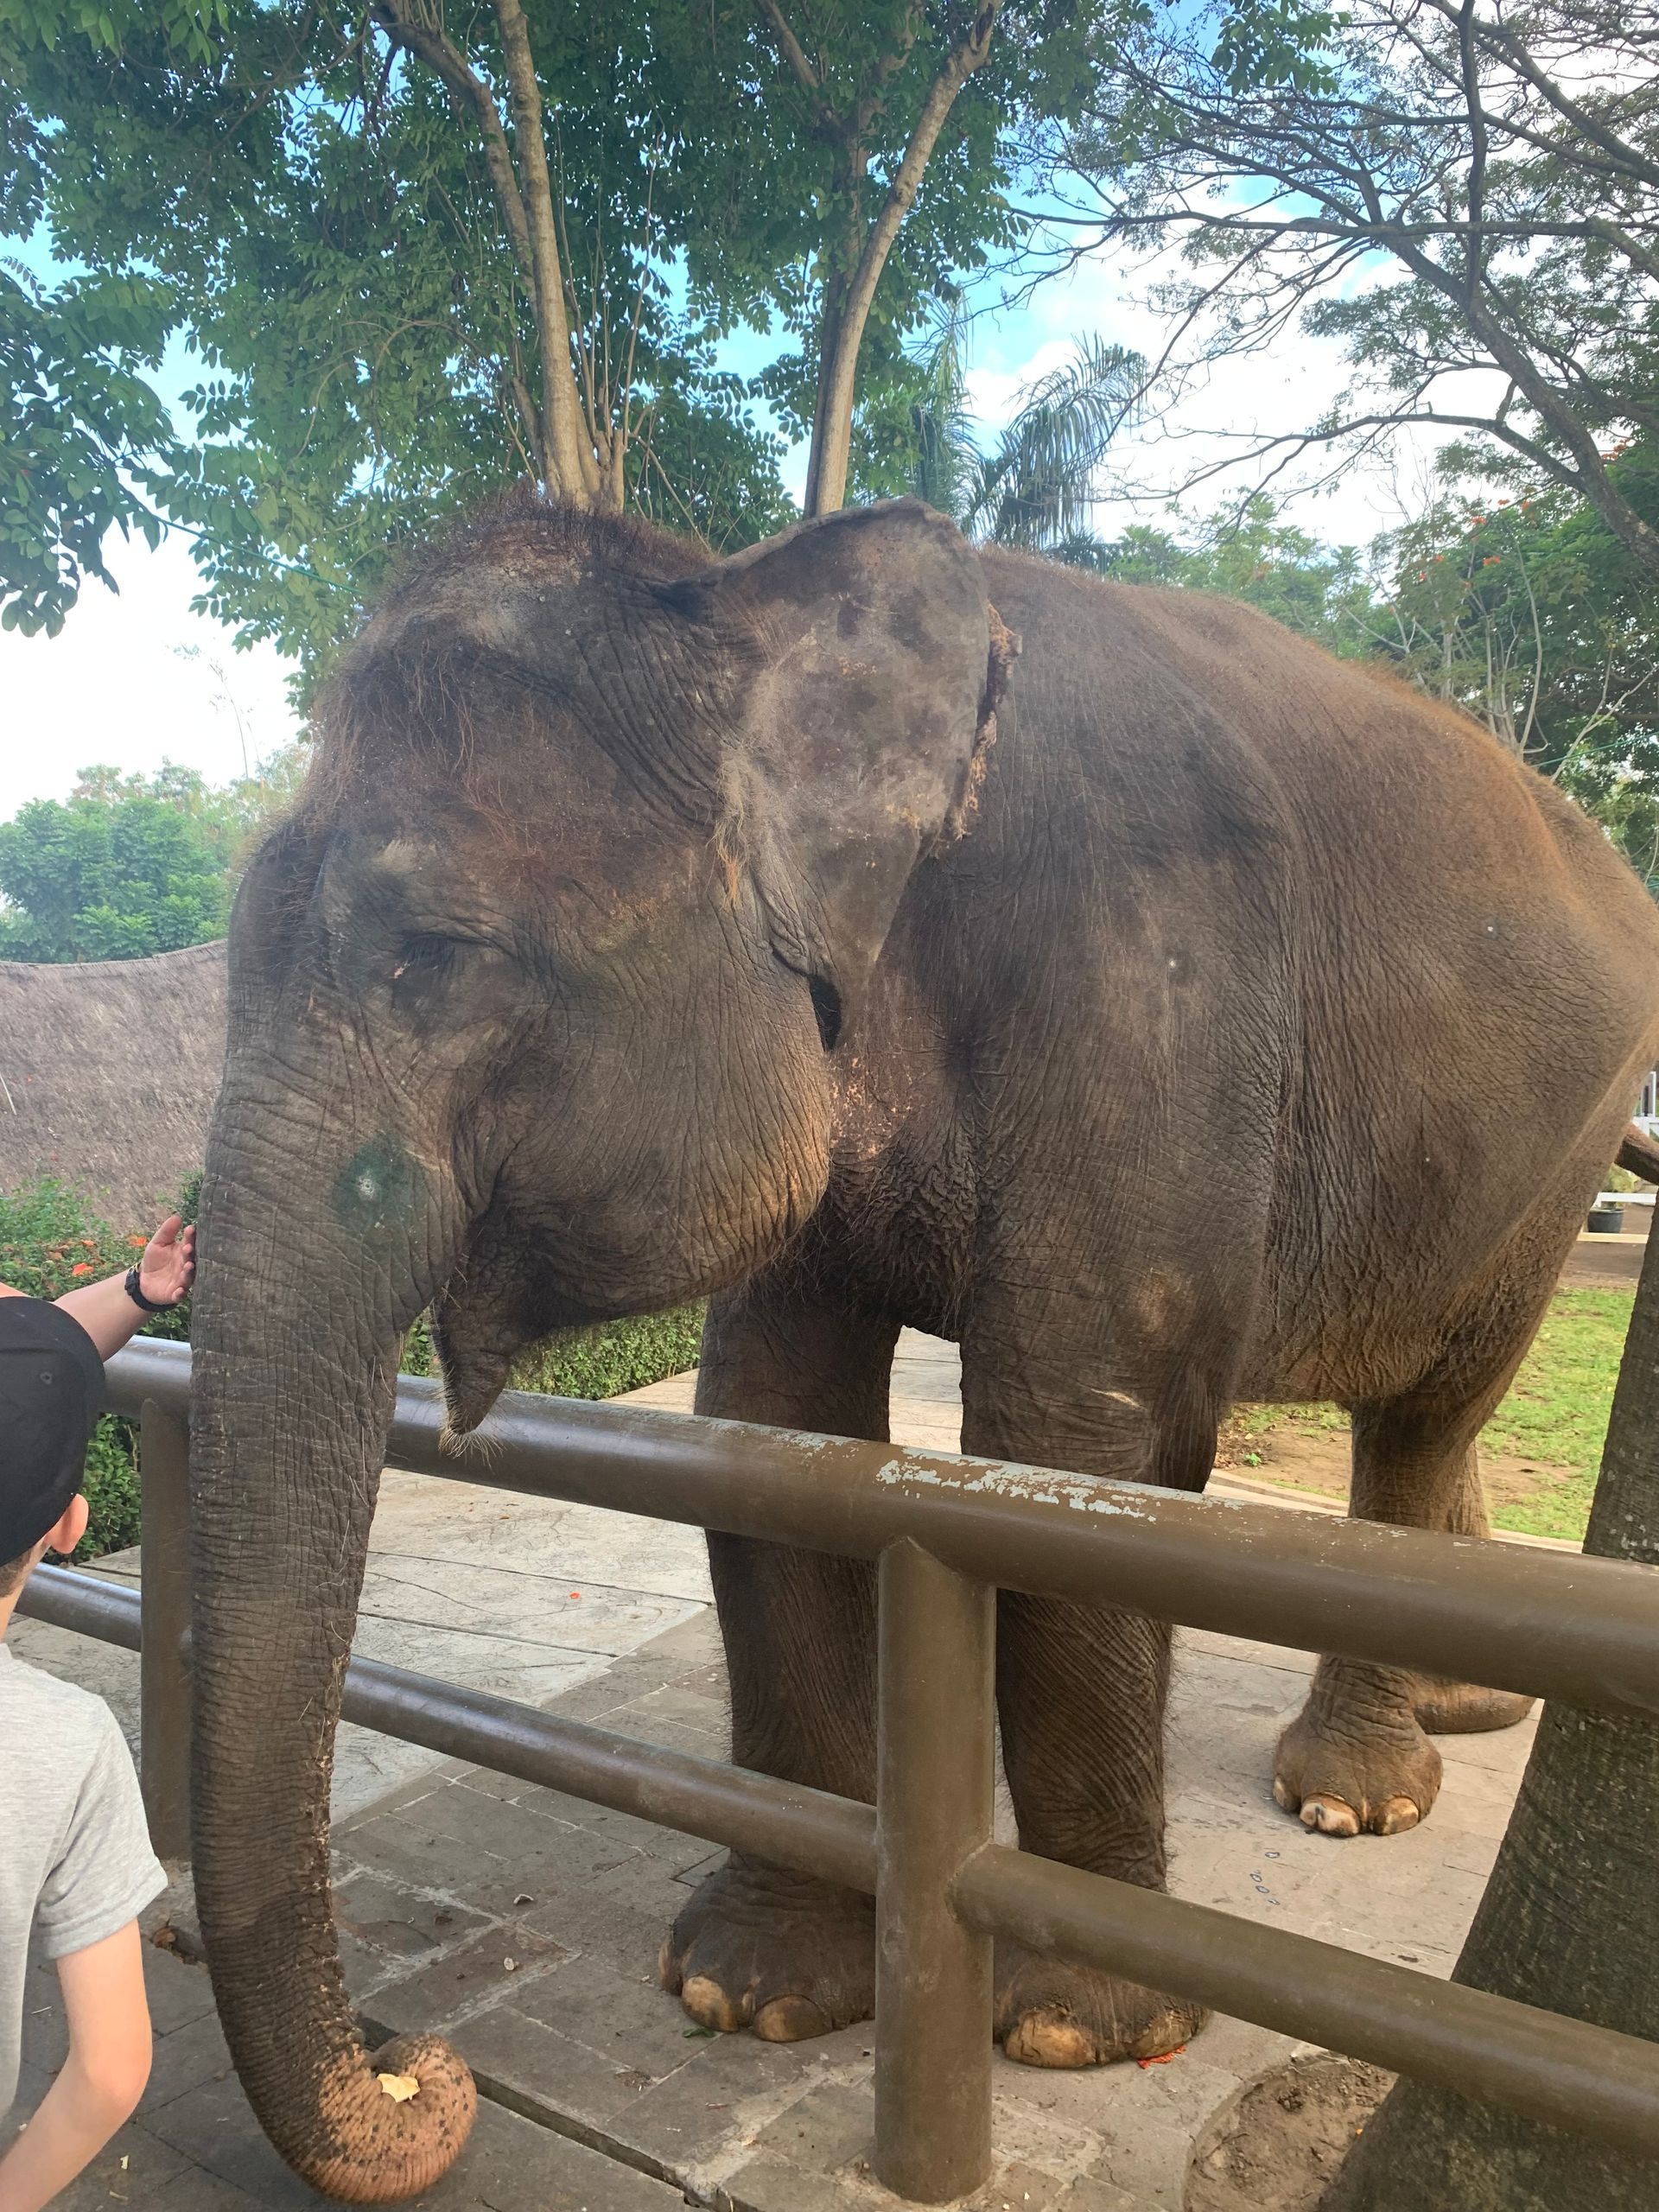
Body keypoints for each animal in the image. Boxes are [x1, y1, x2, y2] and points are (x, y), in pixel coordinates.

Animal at [188, 493, 1659, 2202]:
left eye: (434, 953)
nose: (417, 2066)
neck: (752, 594)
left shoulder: (1151, 974)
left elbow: (1074, 1437)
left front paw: (1084, 2028)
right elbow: (776, 1414)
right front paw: (748, 1991)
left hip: (1559, 1152)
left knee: (1426, 1408)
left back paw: (1355, 1798)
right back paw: (1461, 1715)